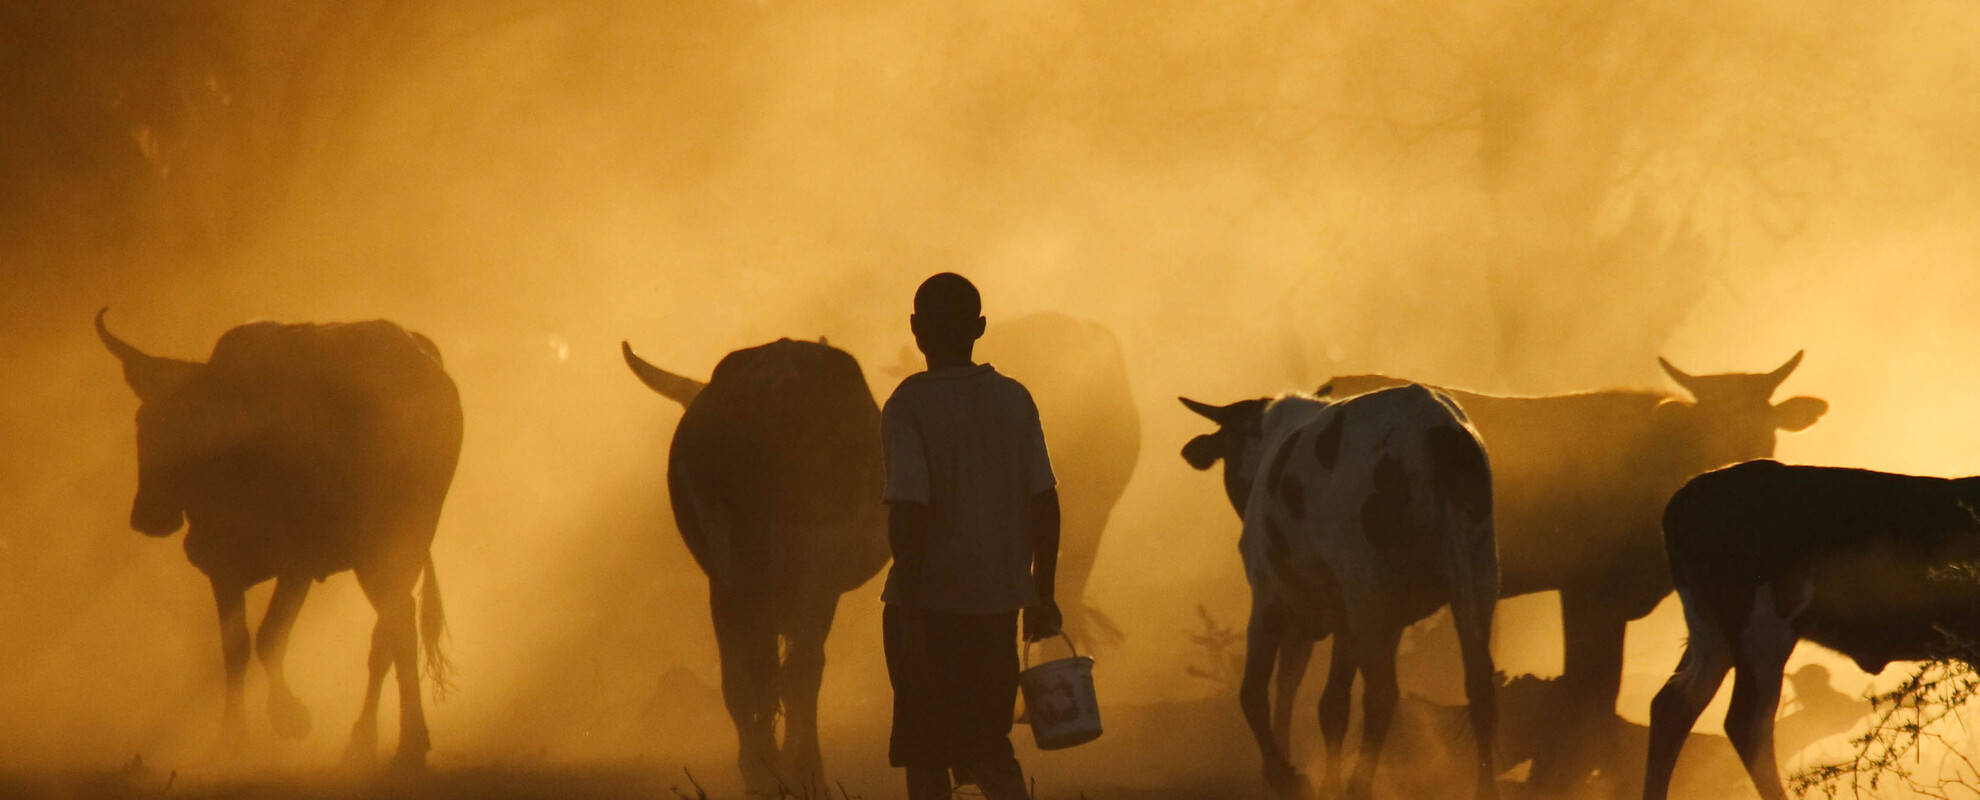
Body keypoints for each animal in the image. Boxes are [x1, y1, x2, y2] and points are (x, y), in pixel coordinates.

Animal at [94, 306, 457, 768]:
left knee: (395, 631)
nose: (148, 517)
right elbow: (236, 649)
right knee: (390, 633)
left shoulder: (298, 564)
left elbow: (270, 638)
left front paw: (290, 717)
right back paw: (367, 739)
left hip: (393, 549)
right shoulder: (221, 568)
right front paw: (232, 740)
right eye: (143, 422)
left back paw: (406, 742)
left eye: (194, 425)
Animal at [625, 336, 891, 792]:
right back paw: (801, 774)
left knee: (741, 681)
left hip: (729, 576)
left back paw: (761, 774)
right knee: (798, 675)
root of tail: (769, 381)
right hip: (808, 570)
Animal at [1172, 384, 1496, 796]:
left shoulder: (1270, 599)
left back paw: (1359, 785)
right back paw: (1485, 788)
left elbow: (1253, 692)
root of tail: (1435, 427)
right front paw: (1321, 781)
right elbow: (1329, 704)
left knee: (1382, 693)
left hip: (1366, 589)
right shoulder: (1357, 619)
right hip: (1478, 574)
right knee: (1480, 684)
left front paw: (1283, 775)